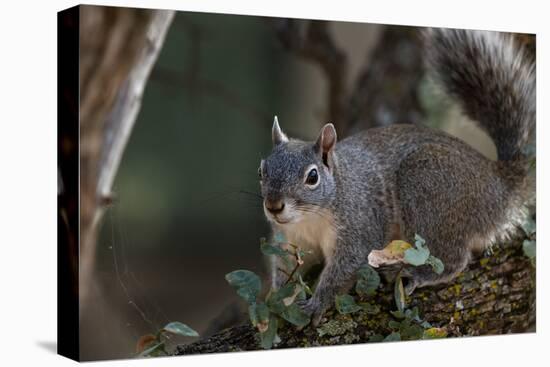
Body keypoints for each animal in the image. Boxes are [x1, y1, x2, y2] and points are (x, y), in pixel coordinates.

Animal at [260, 29, 536, 328]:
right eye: (262, 170)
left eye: (312, 176)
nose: (274, 206)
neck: (310, 218)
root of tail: (500, 186)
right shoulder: (291, 242)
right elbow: (286, 272)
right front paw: (275, 306)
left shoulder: (360, 226)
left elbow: (344, 269)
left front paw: (316, 304)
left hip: (426, 189)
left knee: (453, 260)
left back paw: (418, 274)